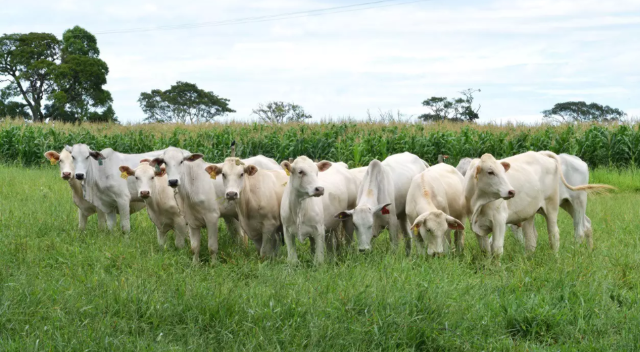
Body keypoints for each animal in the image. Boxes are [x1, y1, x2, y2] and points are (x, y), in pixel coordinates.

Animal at [464, 150, 608, 258]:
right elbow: (485, 249)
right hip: (562, 205)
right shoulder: (476, 226)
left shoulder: (499, 220)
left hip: (572, 202)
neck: (479, 203)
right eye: (490, 172)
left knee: (564, 232)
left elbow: (496, 248)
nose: (511, 191)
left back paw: (565, 255)